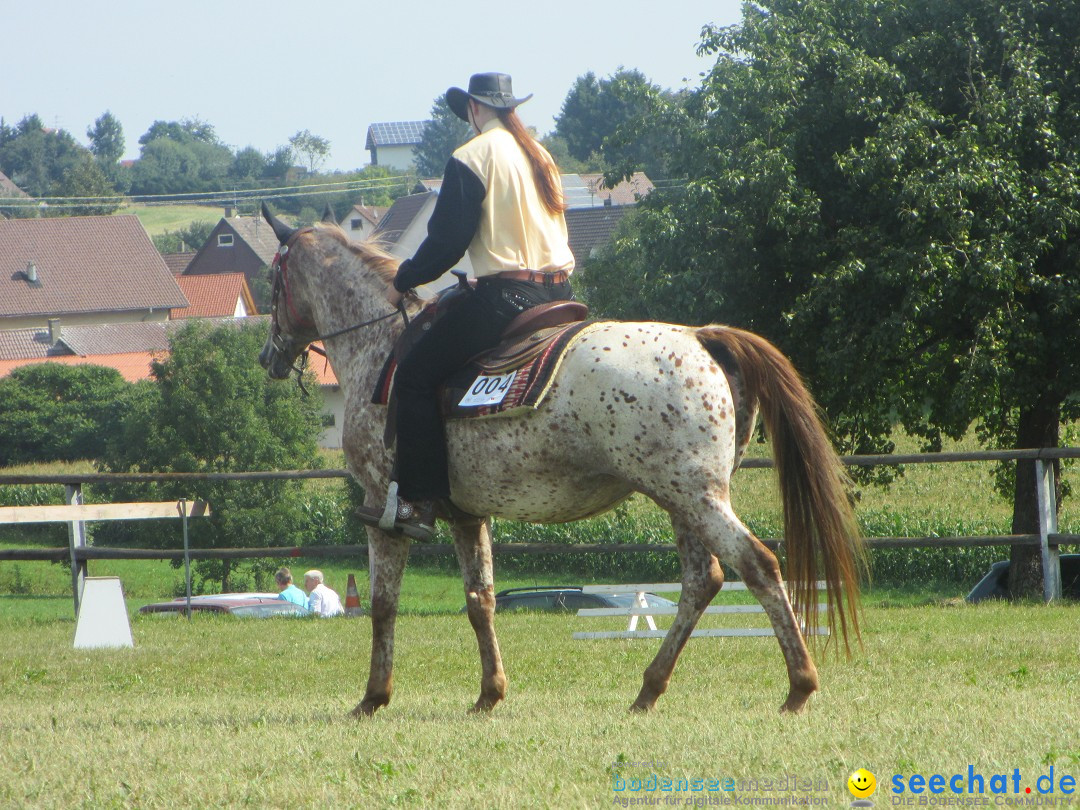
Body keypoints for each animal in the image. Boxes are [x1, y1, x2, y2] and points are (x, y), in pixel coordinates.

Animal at [257, 206, 864, 721]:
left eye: (272, 281)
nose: (268, 356)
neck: (381, 347)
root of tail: (701, 337)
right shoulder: (467, 515)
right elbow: (480, 601)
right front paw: (489, 694)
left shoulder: (384, 510)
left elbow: (383, 605)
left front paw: (373, 698)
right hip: (682, 499)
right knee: (703, 579)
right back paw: (648, 689)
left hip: (696, 496)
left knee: (757, 565)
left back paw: (798, 686)